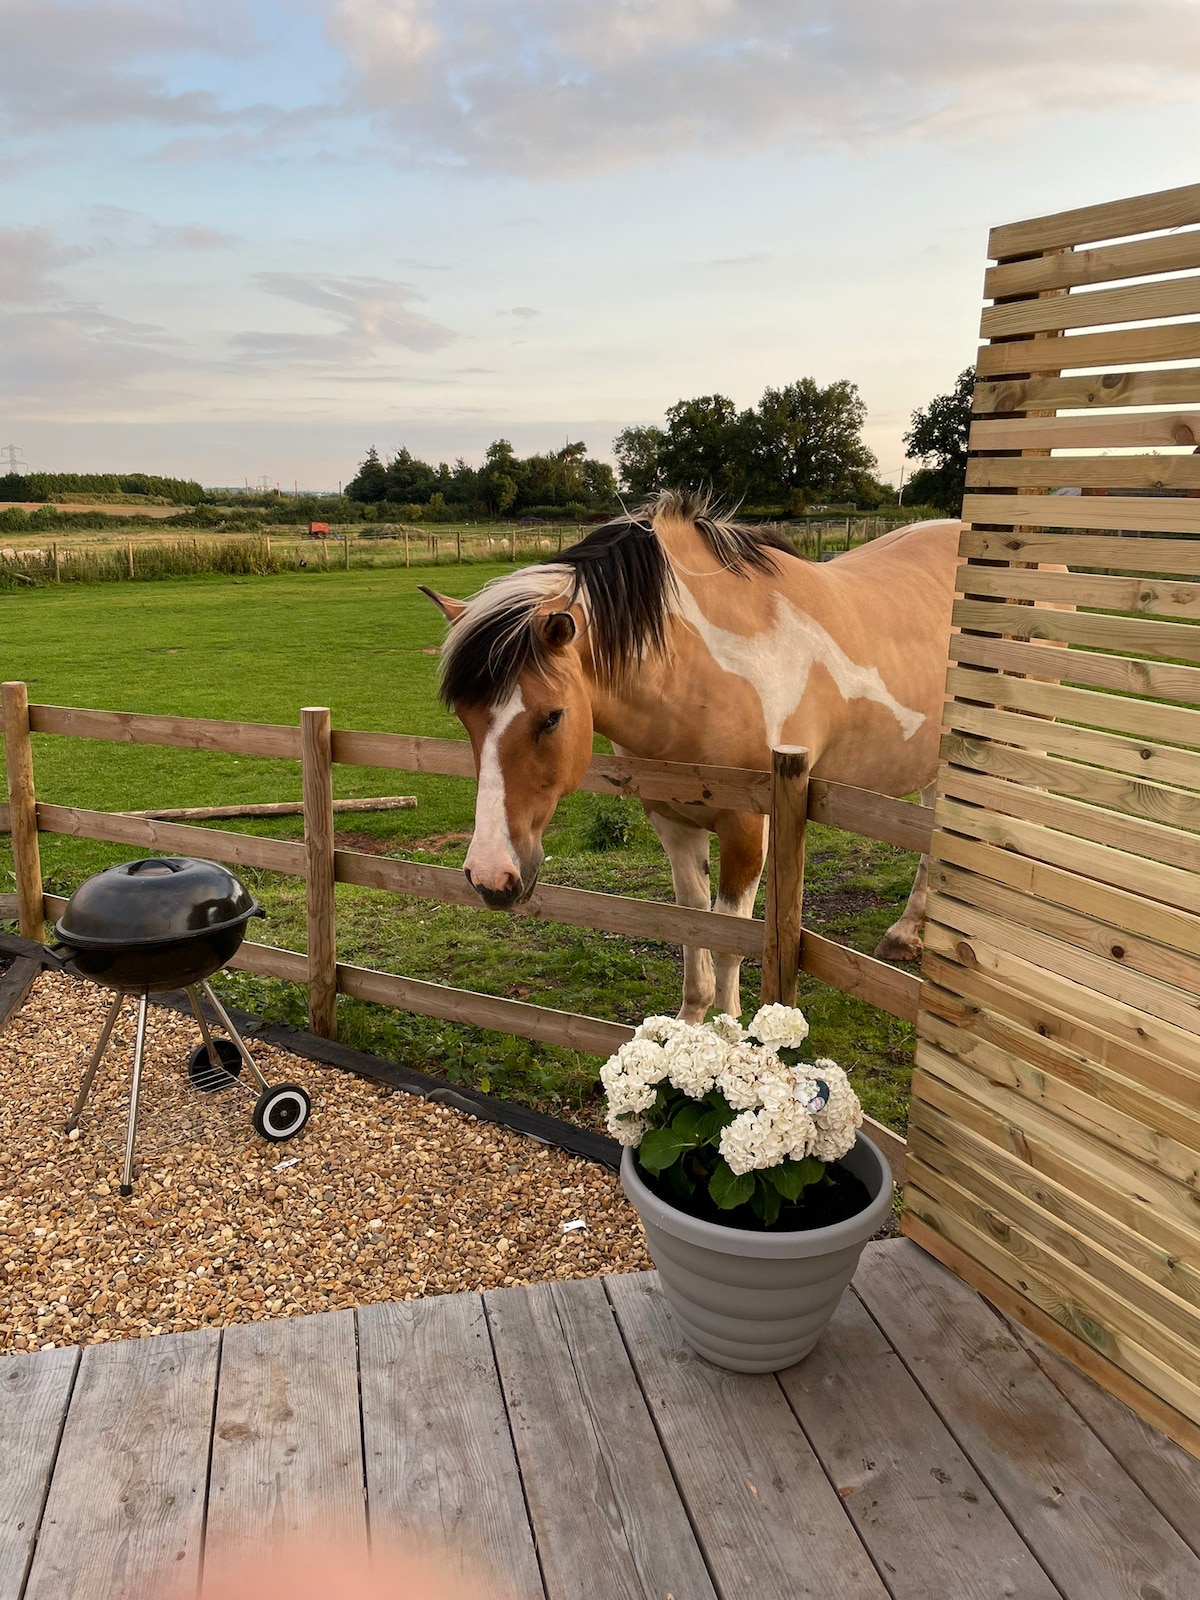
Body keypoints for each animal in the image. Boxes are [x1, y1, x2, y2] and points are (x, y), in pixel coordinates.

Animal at [425, 486, 966, 1030]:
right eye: (464, 717)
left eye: (552, 716)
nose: (491, 877)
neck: (704, 670)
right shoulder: (673, 821)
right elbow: (691, 923)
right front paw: (690, 1024)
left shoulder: (748, 830)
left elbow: (728, 939)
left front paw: (729, 1033)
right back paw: (907, 933)